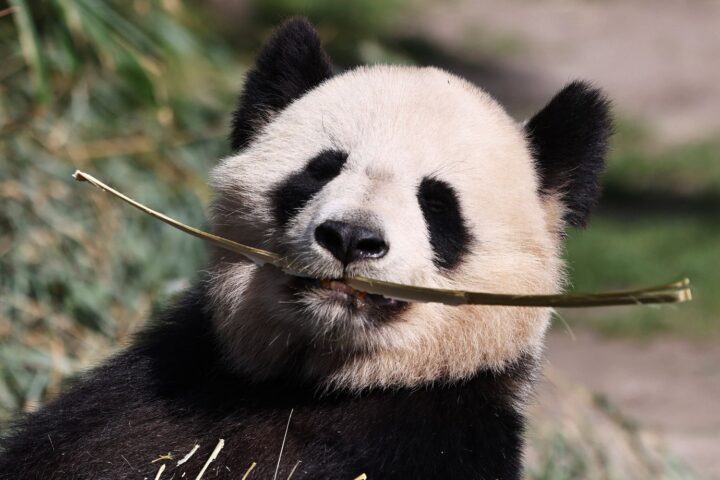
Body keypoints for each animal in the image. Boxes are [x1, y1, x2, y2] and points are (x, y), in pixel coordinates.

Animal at [0, 18, 611, 480]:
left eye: (437, 204)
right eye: (321, 170)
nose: (351, 238)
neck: (316, 384)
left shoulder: (442, 437)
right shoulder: (147, 397)